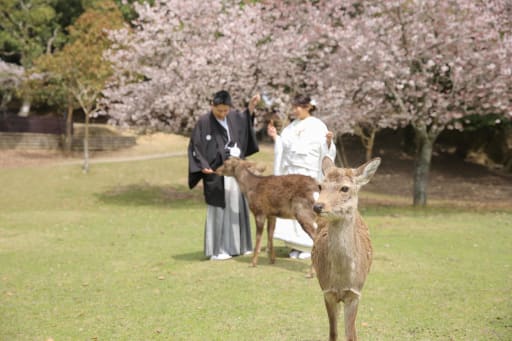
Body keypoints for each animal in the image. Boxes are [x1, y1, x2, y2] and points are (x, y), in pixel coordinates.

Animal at [312, 156, 380, 340]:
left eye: (345, 188)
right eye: (320, 186)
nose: (318, 206)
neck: (341, 280)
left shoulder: (355, 293)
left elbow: (351, 335)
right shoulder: (327, 292)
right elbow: (333, 333)